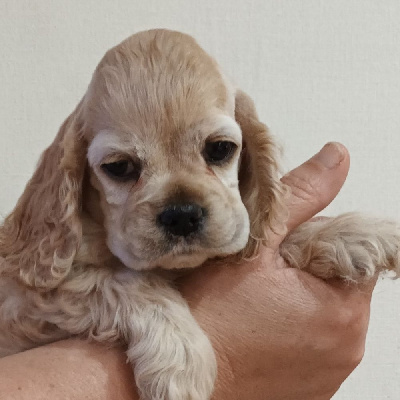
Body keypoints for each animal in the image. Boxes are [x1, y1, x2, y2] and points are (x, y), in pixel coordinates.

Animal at [0, 28, 400, 400]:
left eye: (220, 148)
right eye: (119, 167)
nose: (181, 216)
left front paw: (358, 234)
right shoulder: (24, 300)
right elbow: (125, 281)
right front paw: (181, 363)